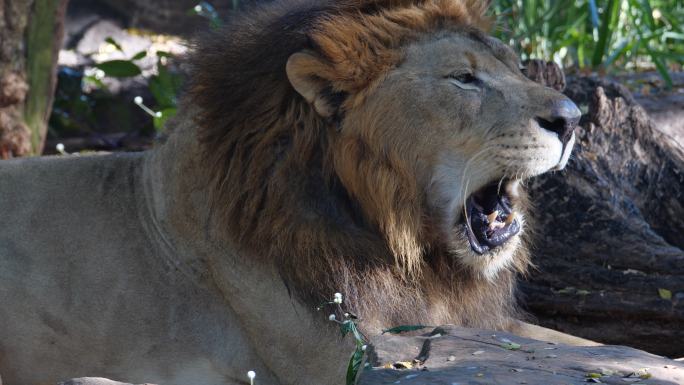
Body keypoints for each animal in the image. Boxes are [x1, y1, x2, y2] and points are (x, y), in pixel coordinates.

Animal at [0, 0, 592, 384]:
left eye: (515, 67)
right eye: (463, 79)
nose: (572, 119)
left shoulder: (463, 326)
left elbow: (587, 346)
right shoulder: (345, 357)